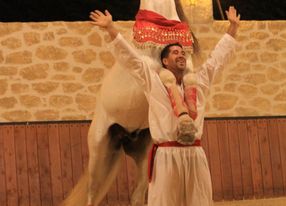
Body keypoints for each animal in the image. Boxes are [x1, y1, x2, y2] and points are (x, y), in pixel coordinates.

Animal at [59, 0, 196, 205]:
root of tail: (125, 136)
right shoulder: (146, 68)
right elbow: (167, 75)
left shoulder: (186, 68)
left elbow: (188, 80)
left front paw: (187, 122)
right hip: (99, 152)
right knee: (92, 193)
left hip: (142, 154)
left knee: (137, 194)